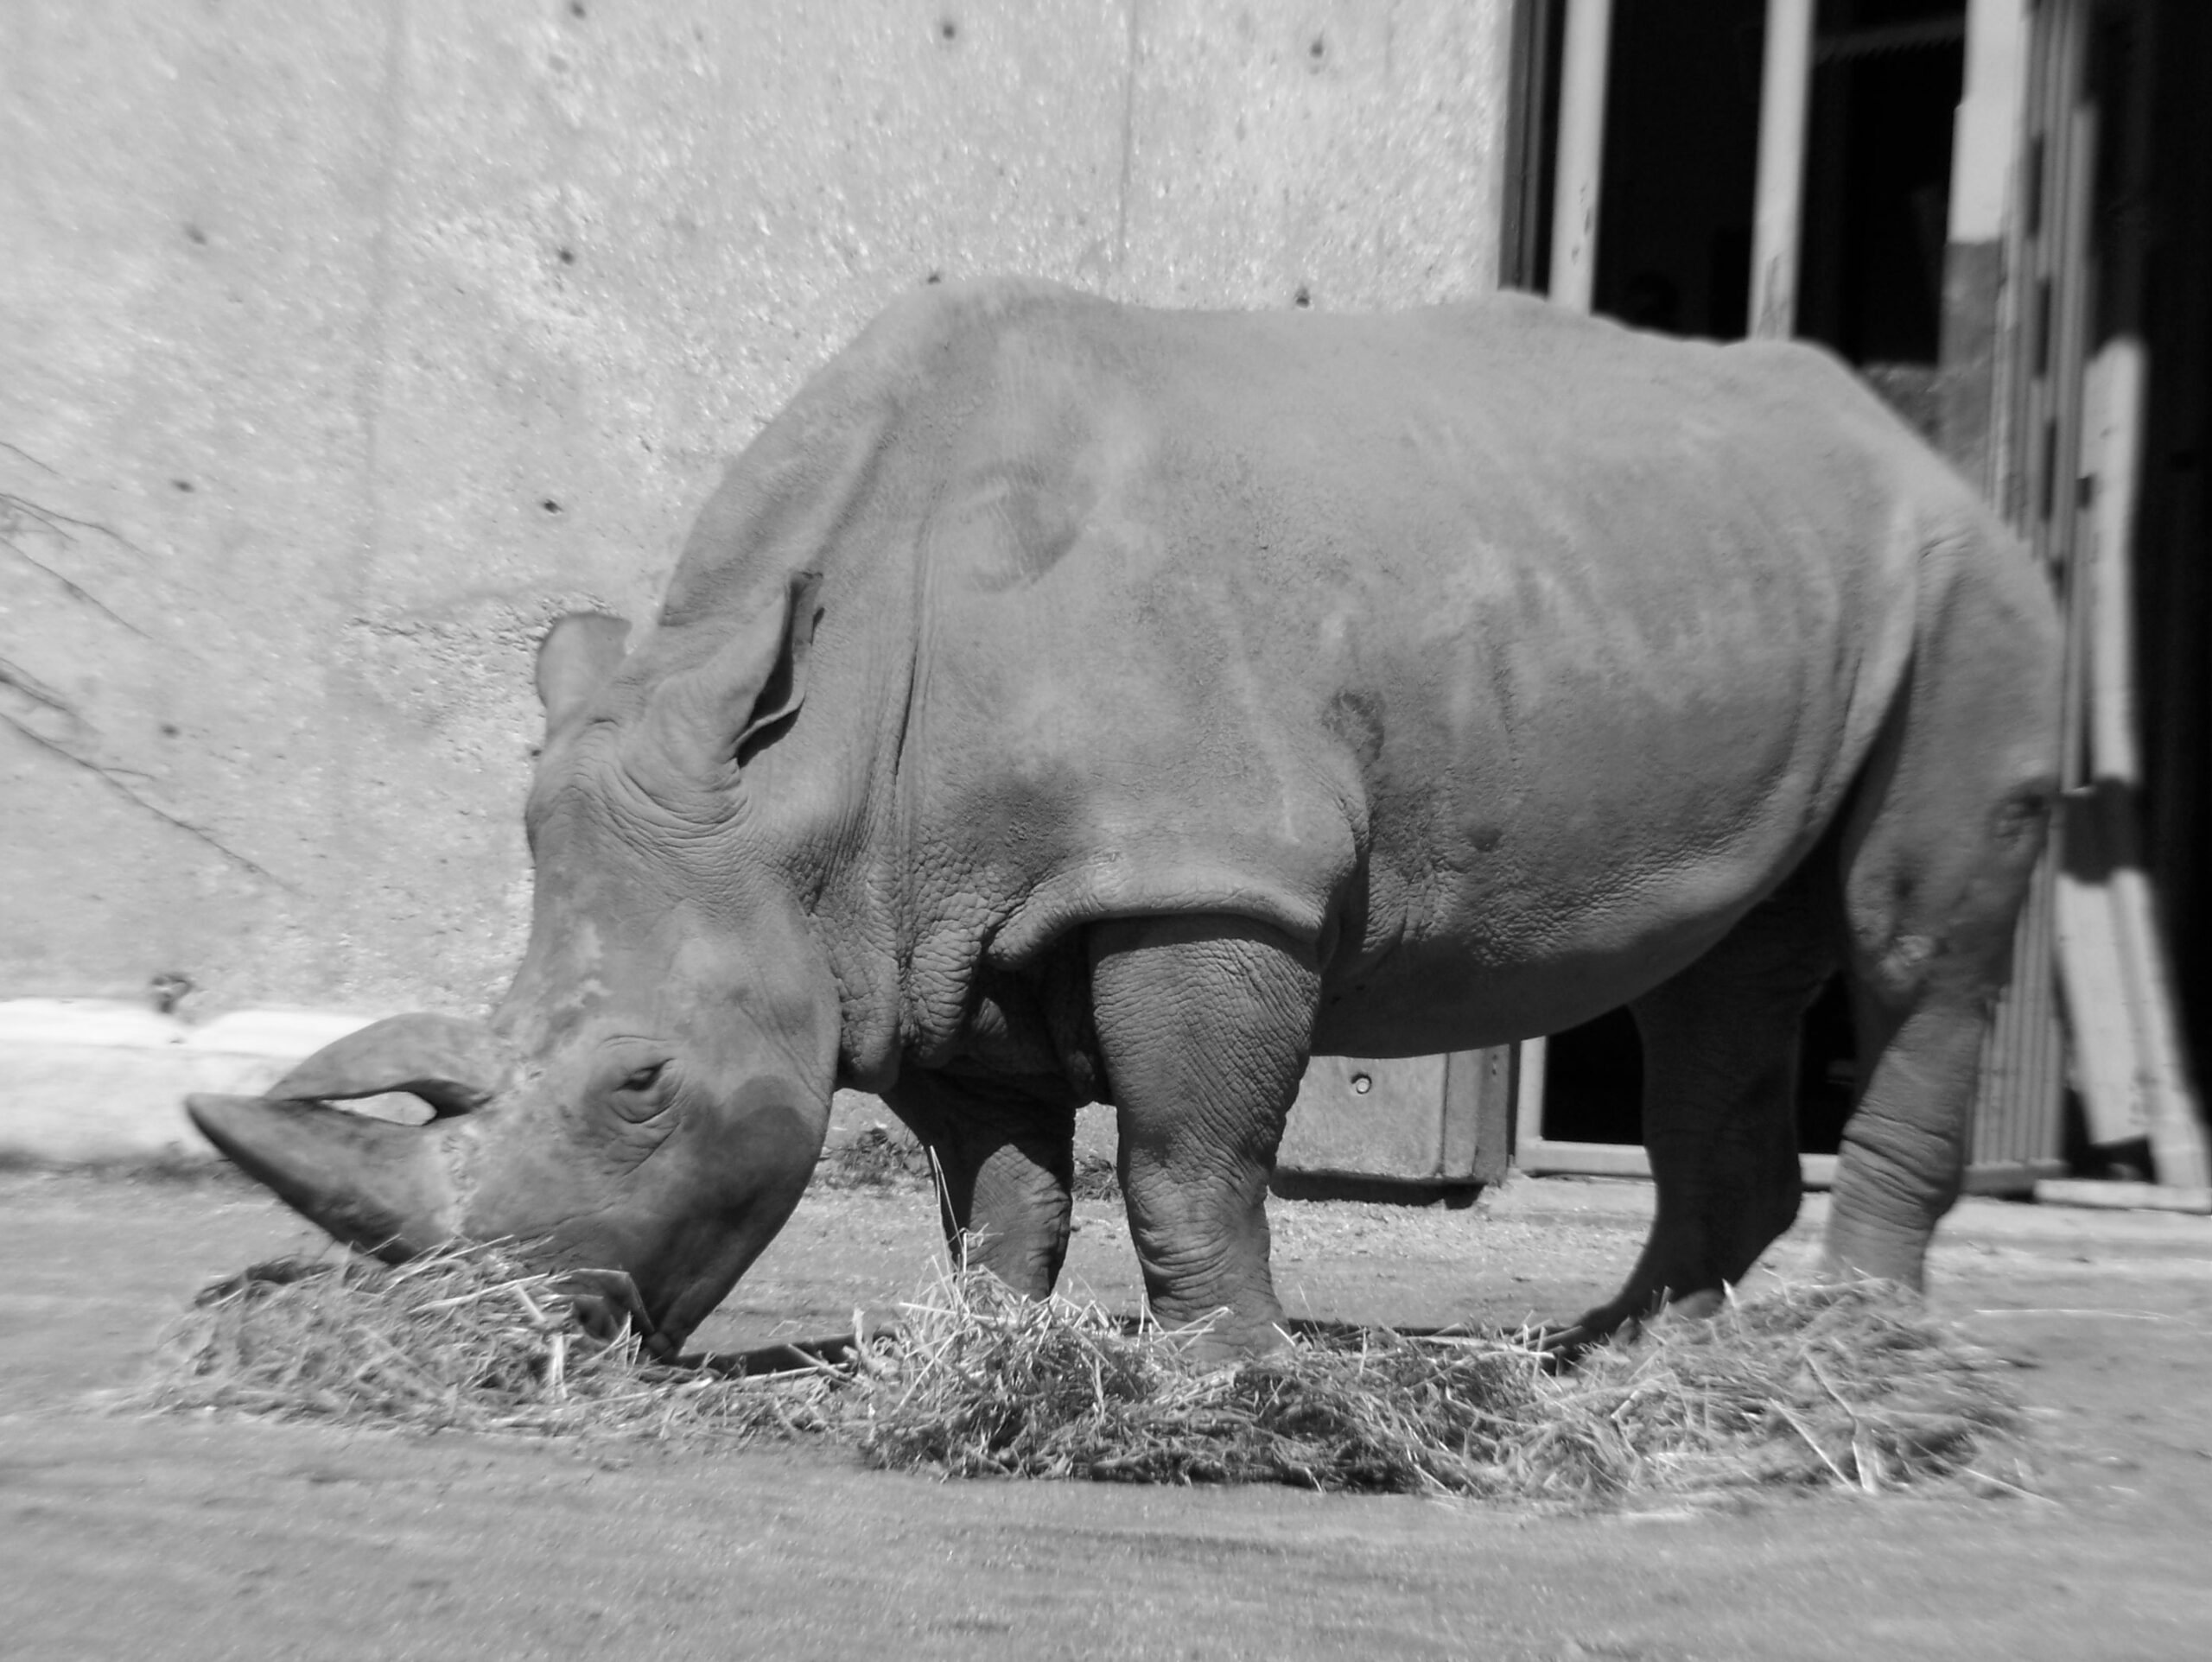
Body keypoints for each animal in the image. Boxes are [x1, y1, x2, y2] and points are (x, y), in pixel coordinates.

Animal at [189, 279, 2060, 1357]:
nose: (492, 1338)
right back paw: (1623, 1356)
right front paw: (968, 1351)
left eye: (639, 1087)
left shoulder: (1203, 874)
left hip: (1966, 581)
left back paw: (1852, 1350)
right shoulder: (915, 916)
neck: (815, 751)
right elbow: (998, 1179)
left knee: (1914, 939)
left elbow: (1184, 1154)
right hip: (1747, 573)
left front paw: (1235, 1380)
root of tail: (1914, 439)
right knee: (1722, 979)